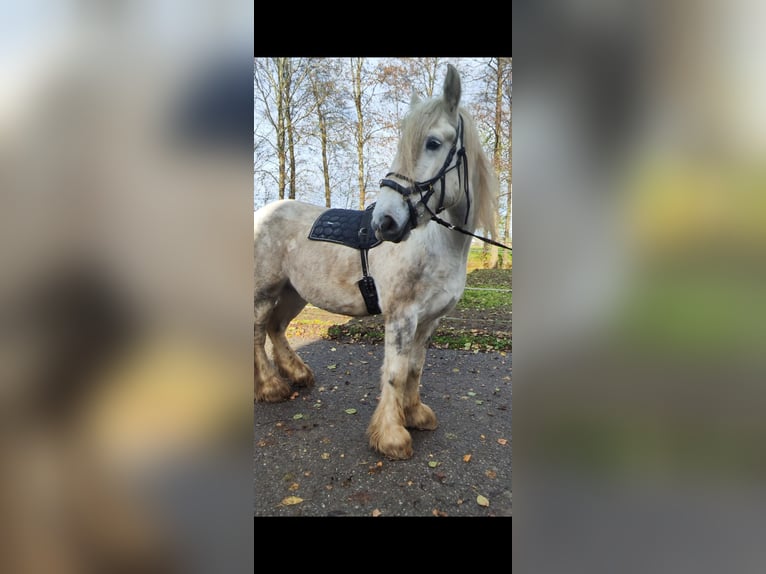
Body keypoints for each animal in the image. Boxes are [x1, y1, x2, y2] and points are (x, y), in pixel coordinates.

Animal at [255, 63, 500, 462]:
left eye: (433, 143)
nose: (384, 222)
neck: (436, 245)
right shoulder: (401, 316)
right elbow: (395, 373)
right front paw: (392, 436)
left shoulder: (429, 320)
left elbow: (415, 369)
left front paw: (415, 415)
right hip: (264, 292)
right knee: (258, 332)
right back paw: (270, 387)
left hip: (294, 293)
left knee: (276, 328)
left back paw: (298, 375)